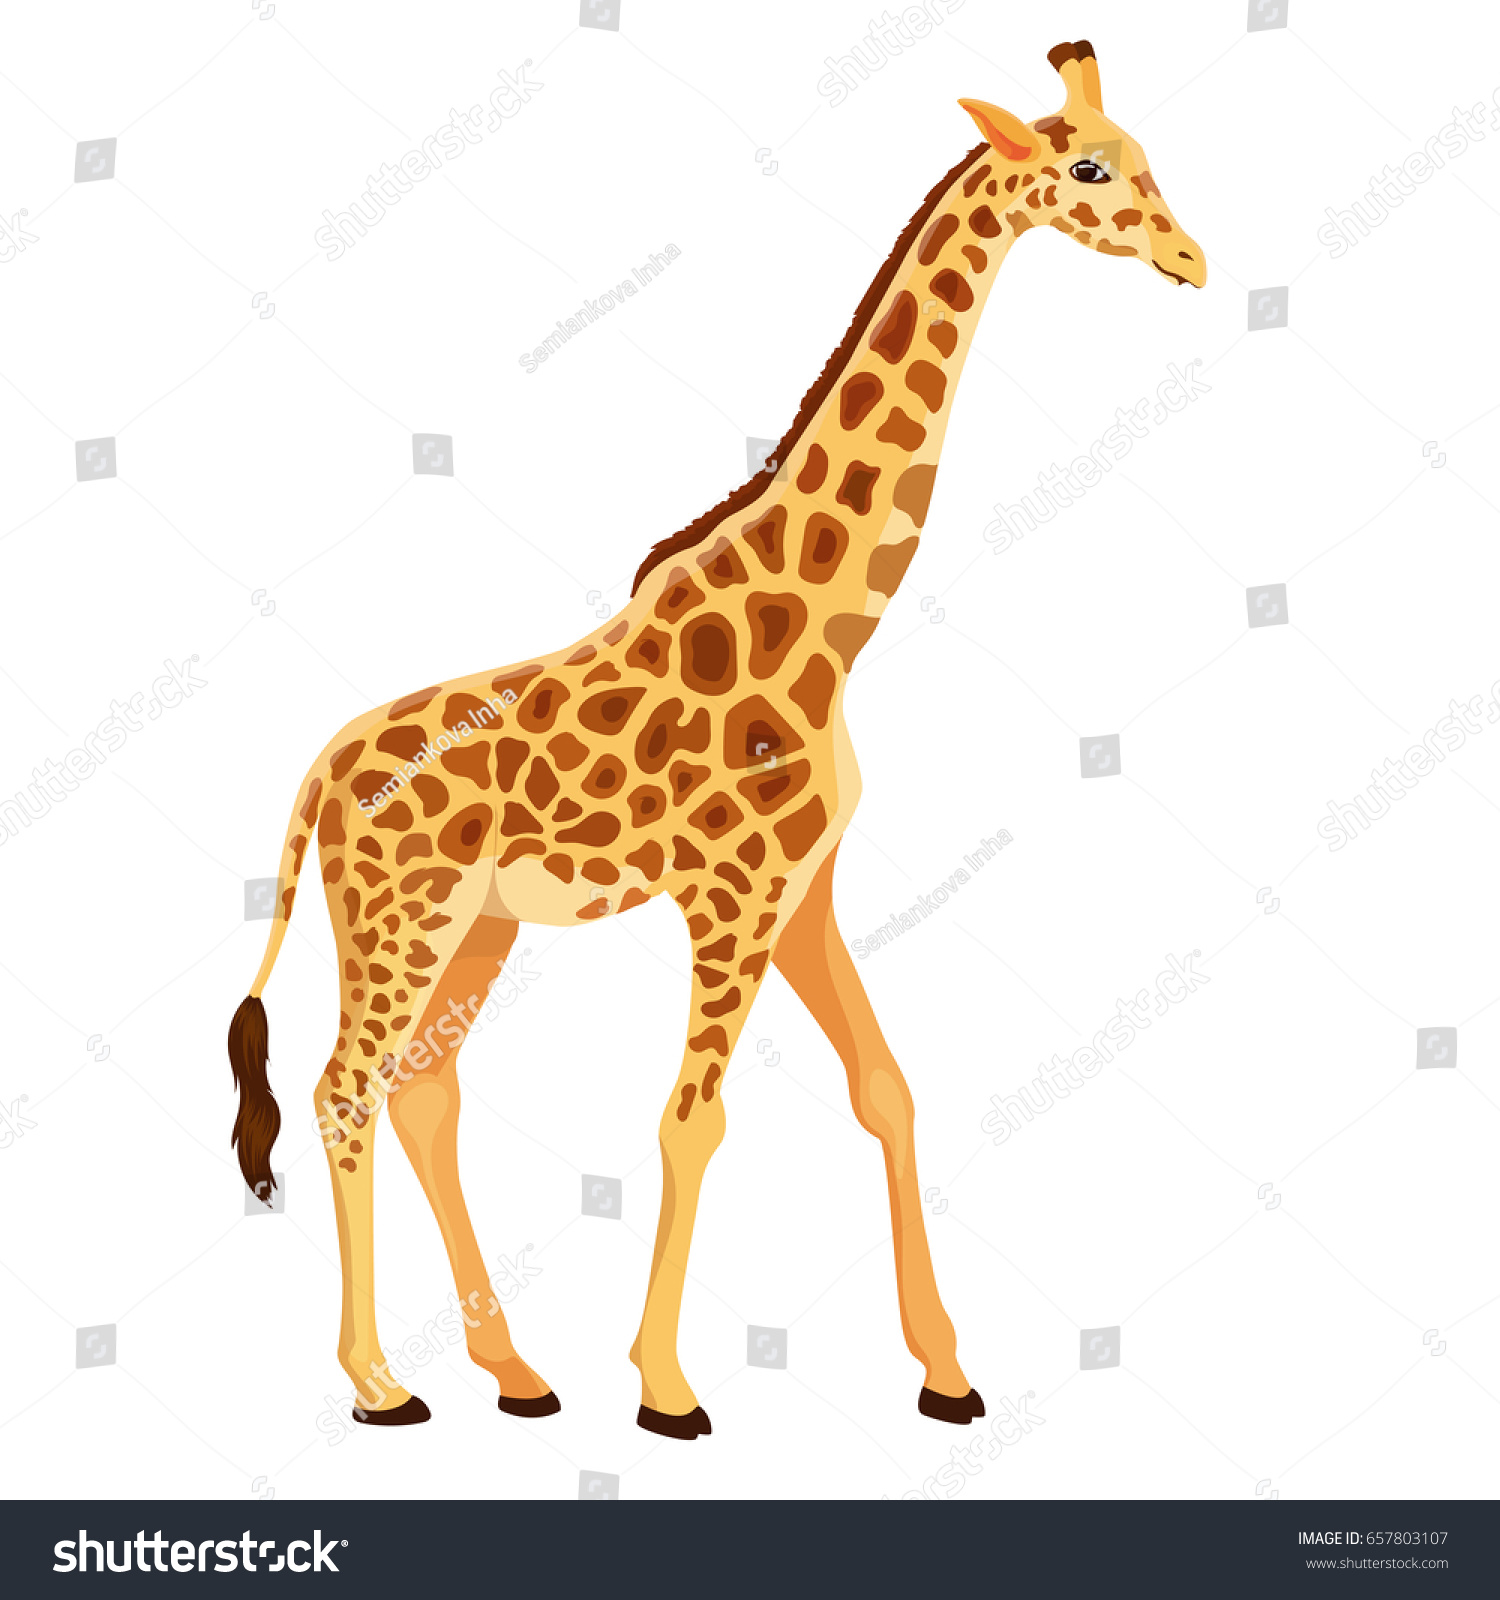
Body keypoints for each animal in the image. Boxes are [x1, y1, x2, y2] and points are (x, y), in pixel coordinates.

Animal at [228, 40, 1203, 1440]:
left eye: (1142, 157)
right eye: (1087, 169)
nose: (1192, 259)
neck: (829, 624)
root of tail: (319, 774)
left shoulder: (806, 887)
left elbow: (887, 1089)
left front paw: (947, 1374)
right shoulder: (731, 892)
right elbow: (693, 1121)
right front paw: (669, 1390)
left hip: (477, 924)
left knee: (423, 1088)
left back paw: (514, 1373)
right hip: (401, 917)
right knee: (343, 1087)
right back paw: (382, 1386)